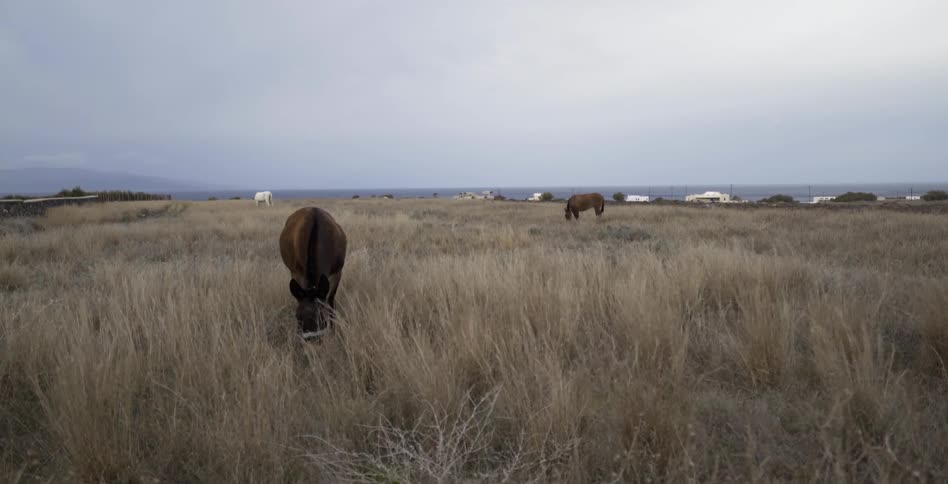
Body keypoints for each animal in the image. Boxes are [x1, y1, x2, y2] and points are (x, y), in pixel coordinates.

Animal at [279, 207, 347, 340]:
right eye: (297, 317)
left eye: (322, 315)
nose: (312, 341)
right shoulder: (297, 272)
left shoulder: (337, 273)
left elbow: (330, 301)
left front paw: (334, 332)